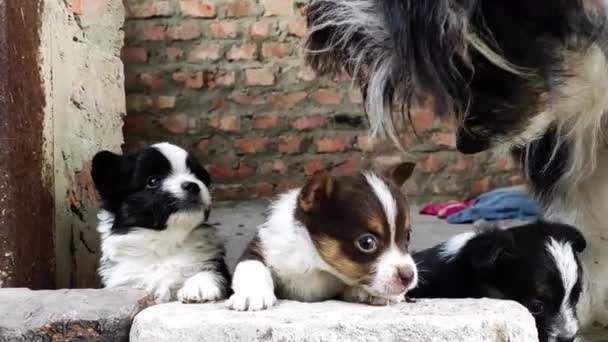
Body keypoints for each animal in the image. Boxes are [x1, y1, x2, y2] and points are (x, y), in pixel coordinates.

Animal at [91, 143, 229, 304]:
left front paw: (199, 285)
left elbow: (209, 271)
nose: (193, 185)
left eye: (196, 175)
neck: (166, 241)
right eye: (153, 181)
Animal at [227, 164, 418, 312]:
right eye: (367, 242)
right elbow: (252, 266)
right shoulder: (262, 248)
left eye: (407, 236)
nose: (409, 276)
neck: (316, 264)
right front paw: (252, 294)